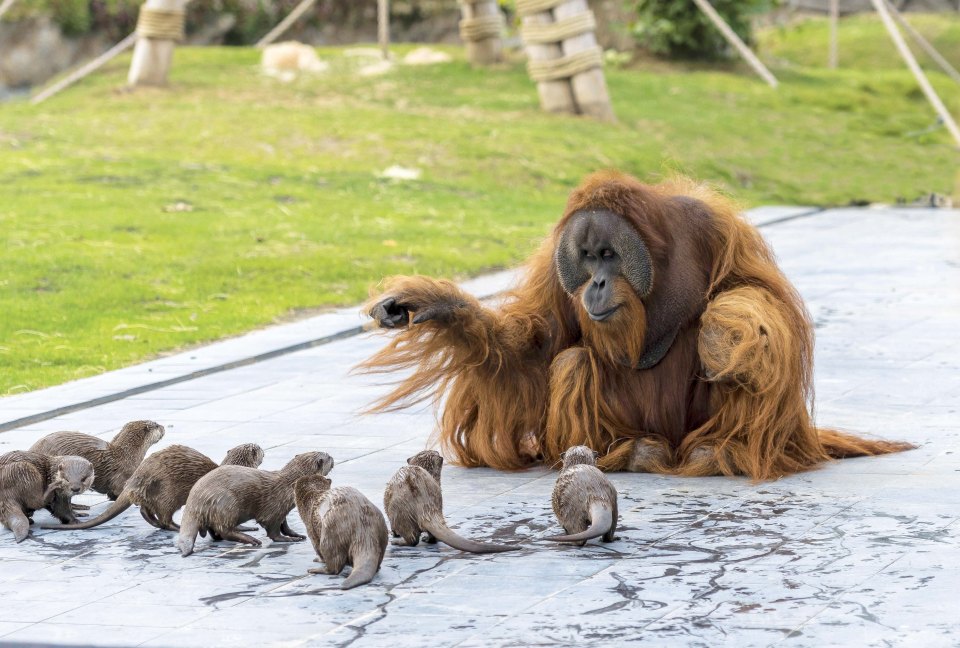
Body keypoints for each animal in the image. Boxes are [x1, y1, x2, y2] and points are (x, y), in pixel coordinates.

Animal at [41, 446, 264, 532]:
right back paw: (175, 527)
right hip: (168, 493)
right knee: (164, 515)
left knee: (145, 509)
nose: (261, 448)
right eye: (258, 449)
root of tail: (136, 478)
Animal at [175, 450, 334, 556]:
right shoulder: (273, 509)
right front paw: (288, 539)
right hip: (228, 504)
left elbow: (285, 525)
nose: (333, 457)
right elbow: (273, 530)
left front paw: (296, 534)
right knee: (225, 530)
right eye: (328, 457)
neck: (289, 486)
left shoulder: (282, 509)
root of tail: (195, 499)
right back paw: (252, 539)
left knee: (214, 530)